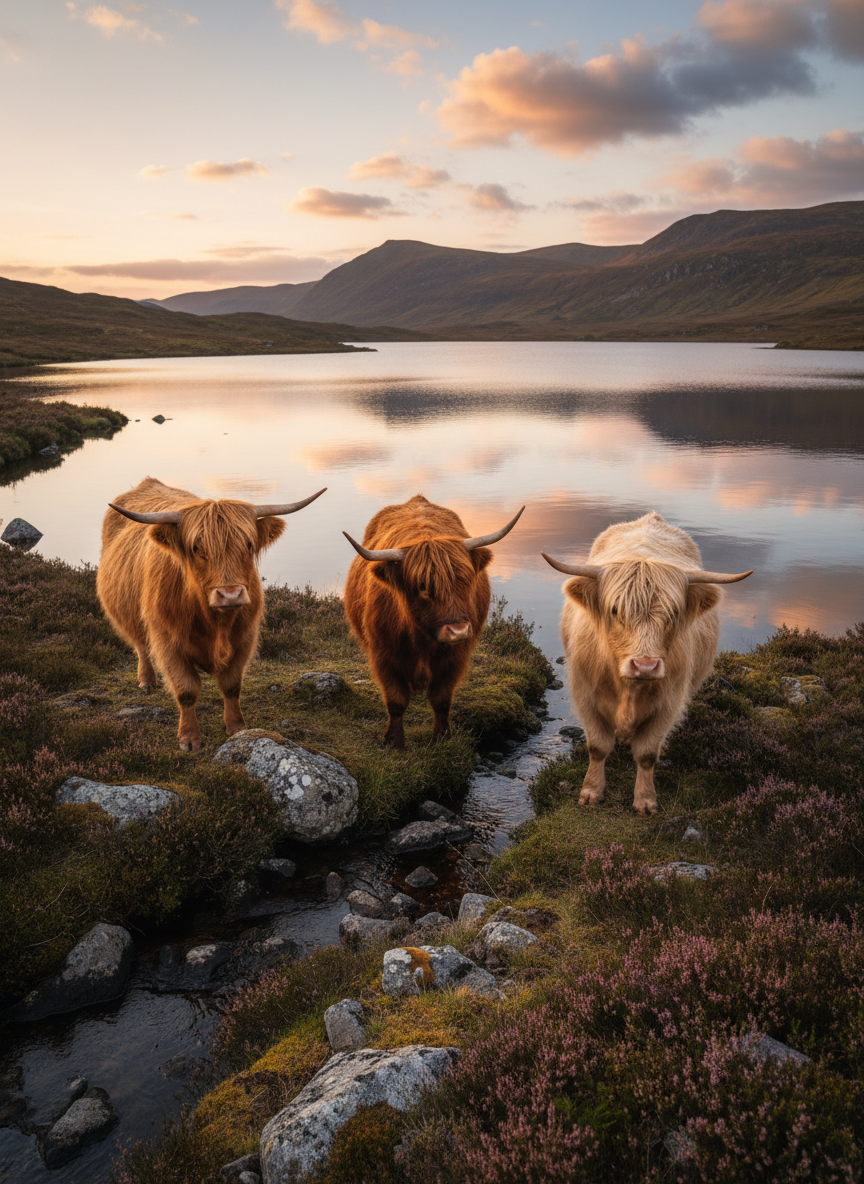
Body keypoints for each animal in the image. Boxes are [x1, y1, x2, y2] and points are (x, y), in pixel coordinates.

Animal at [96, 477, 326, 752]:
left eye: (248, 544)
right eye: (197, 548)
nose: (230, 594)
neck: (214, 622)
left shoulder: (244, 638)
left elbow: (231, 686)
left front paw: (237, 728)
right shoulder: (167, 643)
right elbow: (186, 690)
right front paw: (189, 739)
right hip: (130, 618)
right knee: (140, 645)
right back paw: (147, 681)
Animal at [342, 494, 524, 749]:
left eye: (466, 580)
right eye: (423, 587)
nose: (459, 631)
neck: (421, 639)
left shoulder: (455, 657)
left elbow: (441, 699)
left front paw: (442, 737)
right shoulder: (384, 655)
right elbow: (396, 701)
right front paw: (394, 742)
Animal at [541, 511, 752, 815]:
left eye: (674, 612)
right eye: (615, 610)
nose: (645, 666)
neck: (629, 689)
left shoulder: (669, 703)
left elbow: (648, 754)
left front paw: (645, 800)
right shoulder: (585, 695)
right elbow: (597, 748)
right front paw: (591, 792)